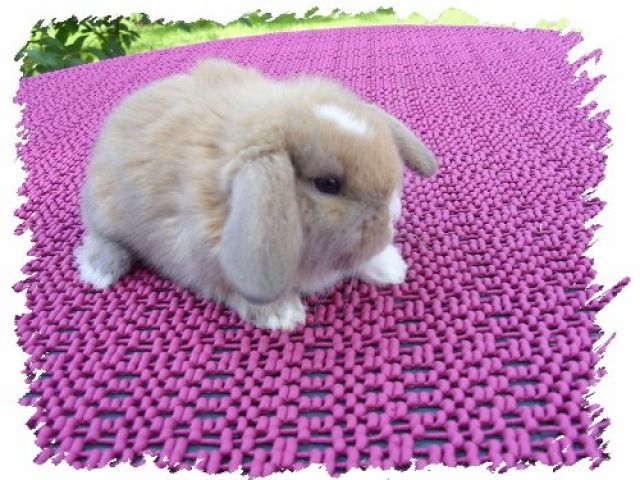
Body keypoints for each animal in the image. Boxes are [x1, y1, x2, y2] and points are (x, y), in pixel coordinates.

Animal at [75, 58, 439, 330]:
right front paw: (282, 314)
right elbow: (236, 291)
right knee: (100, 237)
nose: (393, 214)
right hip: (105, 210)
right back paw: (99, 270)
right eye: (328, 184)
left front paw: (391, 268)